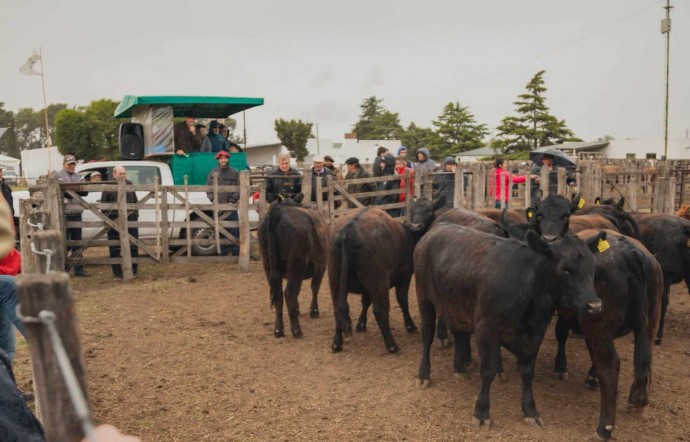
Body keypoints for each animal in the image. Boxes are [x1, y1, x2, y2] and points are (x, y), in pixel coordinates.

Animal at [258, 194, 328, 338]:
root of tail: (278, 212)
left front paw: (297, 309)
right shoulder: (321, 266)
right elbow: (315, 287)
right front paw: (314, 311)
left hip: (268, 264)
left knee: (279, 295)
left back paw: (278, 330)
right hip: (296, 264)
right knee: (290, 293)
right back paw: (296, 330)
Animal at [330, 197, 446, 352]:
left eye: (429, 210)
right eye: (412, 211)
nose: (416, 225)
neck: (408, 236)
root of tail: (348, 230)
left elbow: (365, 301)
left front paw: (361, 324)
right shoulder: (404, 277)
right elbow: (402, 300)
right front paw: (410, 325)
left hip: (336, 281)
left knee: (338, 309)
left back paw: (337, 343)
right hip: (379, 281)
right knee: (380, 311)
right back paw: (392, 345)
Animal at [412, 224, 600, 428]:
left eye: (593, 266)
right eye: (564, 268)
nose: (595, 305)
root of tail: (437, 228)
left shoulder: (535, 333)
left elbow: (527, 372)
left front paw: (530, 410)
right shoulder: (486, 328)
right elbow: (488, 371)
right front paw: (482, 412)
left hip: (456, 305)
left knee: (460, 333)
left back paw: (460, 369)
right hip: (424, 298)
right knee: (427, 334)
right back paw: (423, 375)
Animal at [552, 230, 660, 440]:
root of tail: (629, 251)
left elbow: (561, 334)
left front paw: (561, 367)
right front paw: (591, 377)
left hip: (599, 324)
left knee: (610, 365)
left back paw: (604, 428)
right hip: (650, 323)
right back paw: (637, 401)